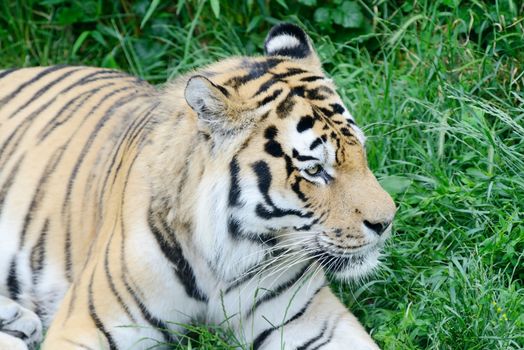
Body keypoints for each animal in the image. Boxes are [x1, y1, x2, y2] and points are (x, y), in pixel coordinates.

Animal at [0, 23, 392, 348]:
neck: (223, 260)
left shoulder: (306, 319)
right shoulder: (86, 326)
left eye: (361, 150)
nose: (387, 222)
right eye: (314, 169)